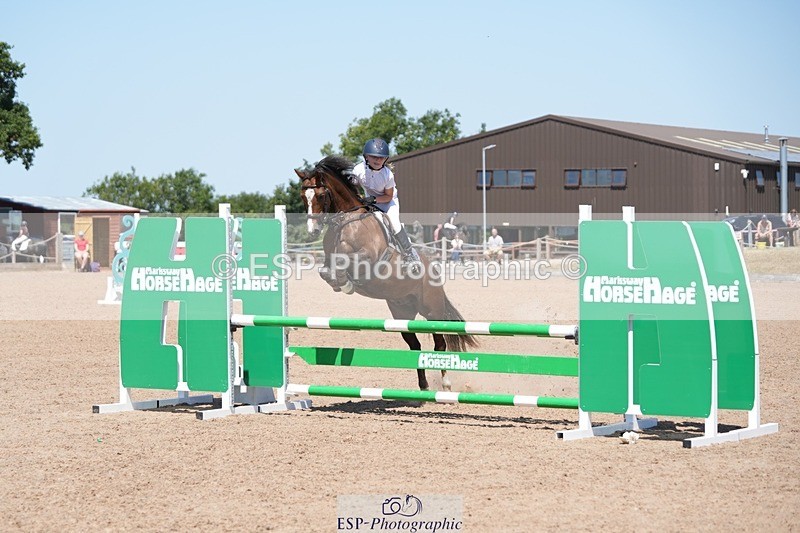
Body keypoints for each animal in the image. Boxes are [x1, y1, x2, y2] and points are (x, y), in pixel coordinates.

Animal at [294, 155, 478, 391]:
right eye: (303, 196)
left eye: (320, 195)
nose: (312, 232)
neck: (346, 221)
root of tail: (434, 272)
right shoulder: (327, 259)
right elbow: (326, 271)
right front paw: (342, 283)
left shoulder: (368, 257)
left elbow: (345, 262)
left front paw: (346, 283)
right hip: (402, 313)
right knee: (415, 346)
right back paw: (424, 386)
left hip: (432, 310)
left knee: (440, 344)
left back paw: (445, 384)